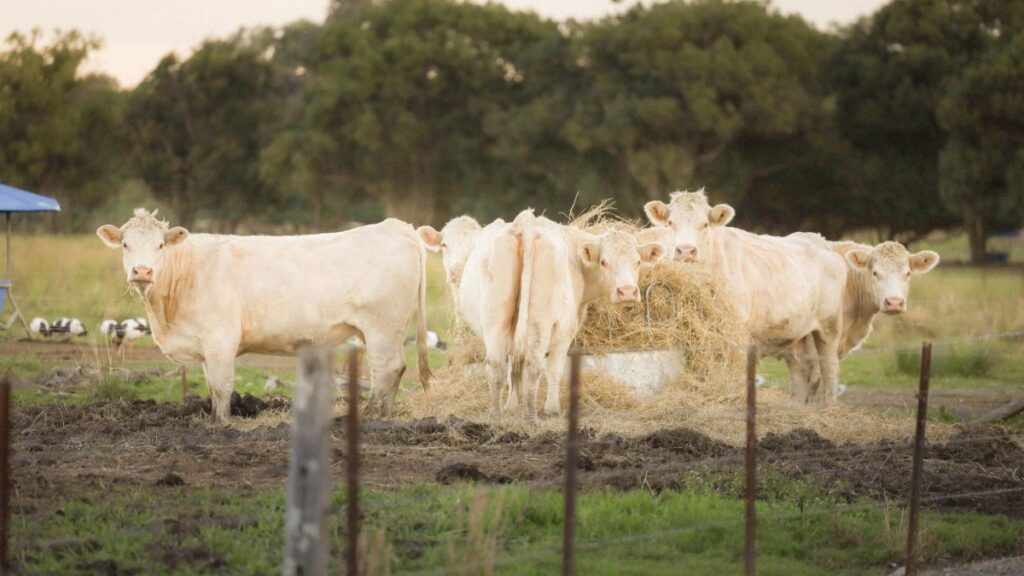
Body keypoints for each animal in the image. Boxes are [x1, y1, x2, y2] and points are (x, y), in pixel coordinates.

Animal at [97, 208, 430, 420]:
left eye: (160, 245)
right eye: (125, 244)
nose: (142, 271)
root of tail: (394, 225)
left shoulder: (220, 340)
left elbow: (221, 387)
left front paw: (222, 423)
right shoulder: (205, 346)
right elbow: (211, 386)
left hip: (382, 327)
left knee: (386, 368)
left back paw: (372, 415)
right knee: (395, 369)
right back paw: (384, 414)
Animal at [512, 213, 665, 420]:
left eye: (638, 261)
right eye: (604, 262)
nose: (627, 292)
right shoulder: (565, 327)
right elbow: (555, 366)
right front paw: (552, 408)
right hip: (541, 323)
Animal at [644, 190, 848, 402]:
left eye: (705, 224)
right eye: (670, 223)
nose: (685, 251)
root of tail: (819, 241)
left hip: (830, 326)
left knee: (829, 367)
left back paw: (830, 403)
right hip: (795, 330)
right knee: (800, 369)